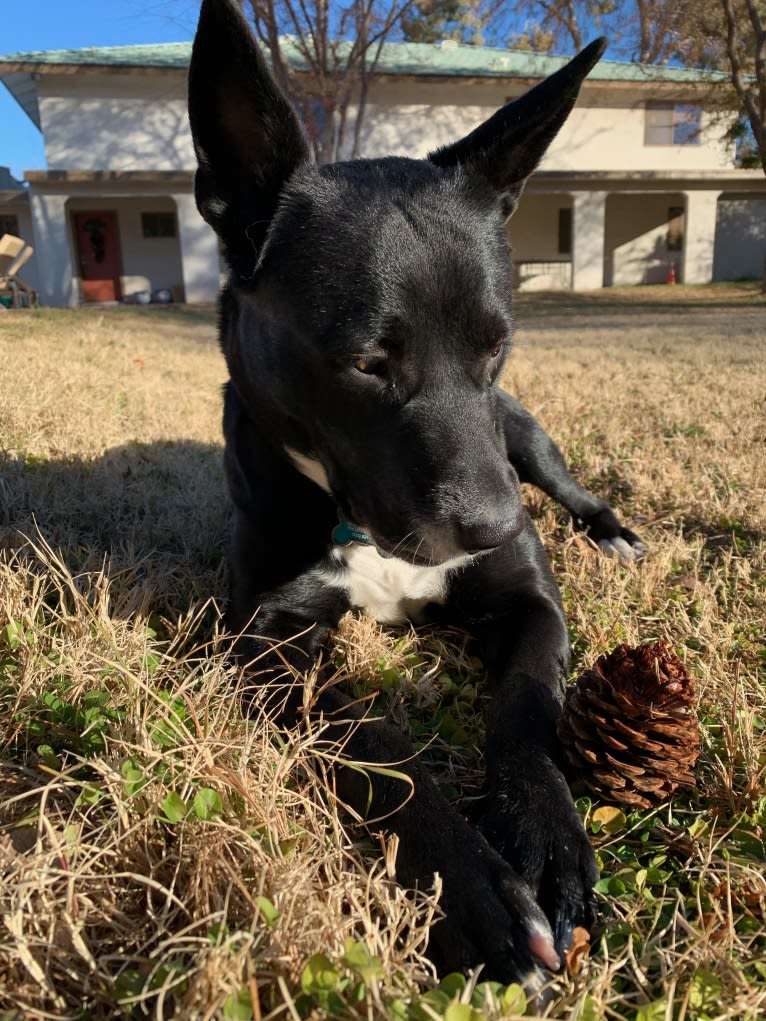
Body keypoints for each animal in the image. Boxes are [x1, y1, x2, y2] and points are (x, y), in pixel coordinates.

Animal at [188, 0, 645, 988]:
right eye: (367, 362)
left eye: (496, 344)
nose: (495, 525)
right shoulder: (264, 643)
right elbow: (374, 745)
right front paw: (473, 890)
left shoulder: (528, 597)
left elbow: (528, 708)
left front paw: (546, 839)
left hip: (528, 441)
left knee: (569, 484)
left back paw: (612, 530)